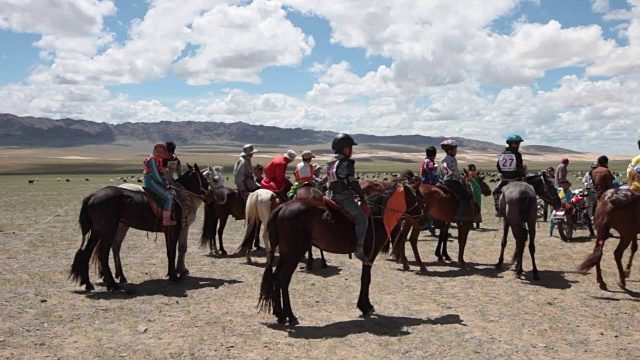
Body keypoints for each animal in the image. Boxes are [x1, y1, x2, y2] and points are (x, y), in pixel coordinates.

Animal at [69, 164, 210, 292]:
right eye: (205, 179)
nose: (209, 197)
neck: (179, 197)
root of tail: (92, 196)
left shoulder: (168, 232)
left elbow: (169, 252)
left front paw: (171, 274)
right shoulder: (174, 231)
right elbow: (172, 252)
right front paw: (175, 276)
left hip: (97, 231)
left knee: (86, 253)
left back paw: (88, 284)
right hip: (108, 230)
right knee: (103, 254)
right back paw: (112, 285)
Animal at [258, 184, 422, 324]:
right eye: (418, 196)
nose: (423, 216)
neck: (378, 213)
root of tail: (282, 207)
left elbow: (365, 278)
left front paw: (365, 305)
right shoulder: (370, 253)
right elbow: (366, 278)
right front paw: (365, 307)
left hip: (286, 253)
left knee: (275, 277)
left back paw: (280, 314)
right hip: (293, 253)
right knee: (283, 279)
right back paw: (290, 316)